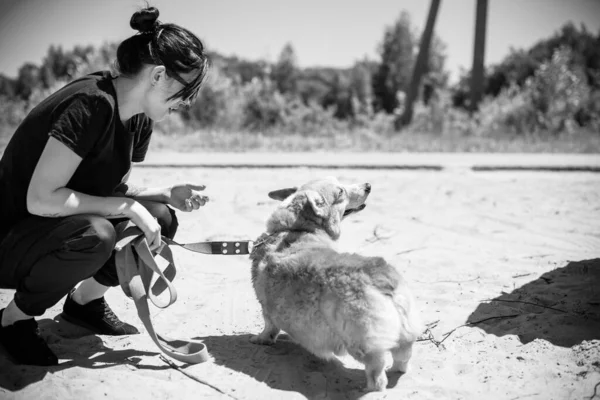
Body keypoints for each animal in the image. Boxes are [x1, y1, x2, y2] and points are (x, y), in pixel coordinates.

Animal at [246, 177, 420, 392]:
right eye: (341, 192)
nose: (368, 186)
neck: (296, 228)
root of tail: (382, 278)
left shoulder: (266, 309)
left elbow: (269, 328)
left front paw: (259, 340)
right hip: (405, 332)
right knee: (403, 356)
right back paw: (397, 369)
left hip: (362, 343)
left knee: (377, 374)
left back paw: (367, 389)